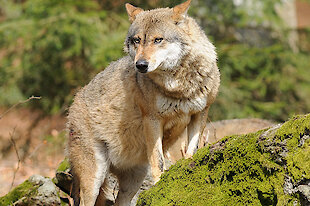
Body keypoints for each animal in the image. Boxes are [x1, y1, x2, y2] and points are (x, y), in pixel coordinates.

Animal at [67, 0, 220, 205]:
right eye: (137, 40)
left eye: (158, 40)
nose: (140, 65)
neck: (179, 86)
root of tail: (73, 103)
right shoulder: (152, 120)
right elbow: (159, 161)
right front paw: (161, 187)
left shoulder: (201, 113)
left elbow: (191, 150)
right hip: (94, 179)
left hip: (133, 181)